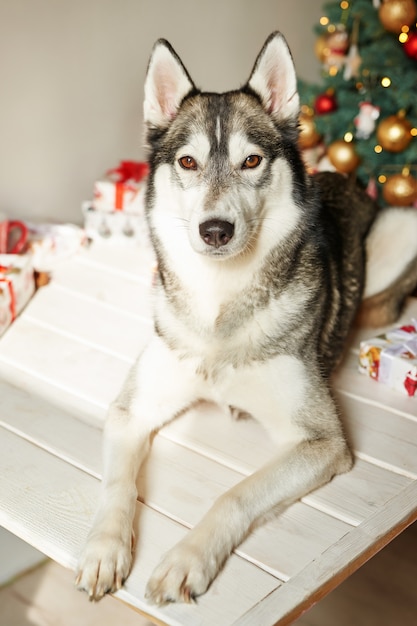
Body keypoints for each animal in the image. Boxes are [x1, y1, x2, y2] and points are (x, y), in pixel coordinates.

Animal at [76, 31, 414, 604]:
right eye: (188, 163)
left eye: (252, 160)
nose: (215, 230)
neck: (221, 302)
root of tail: (345, 178)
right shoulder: (130, 412)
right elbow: (116, 484)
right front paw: (104, 549)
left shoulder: (322, 443)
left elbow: (235, 494)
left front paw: (186, 560)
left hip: (399, 226)